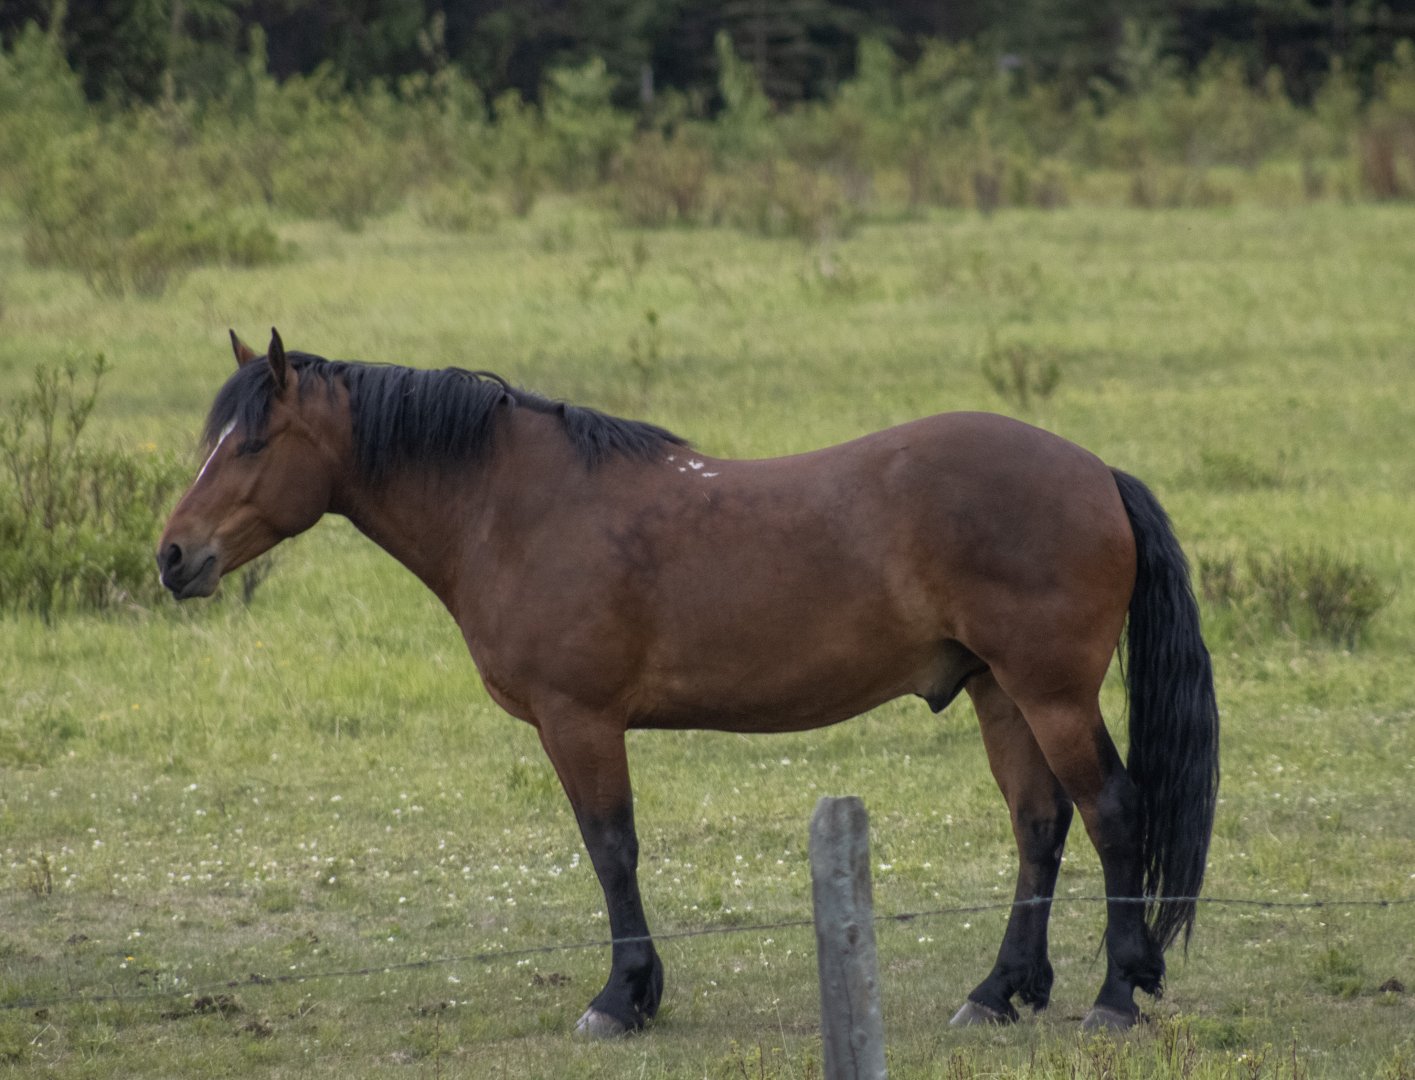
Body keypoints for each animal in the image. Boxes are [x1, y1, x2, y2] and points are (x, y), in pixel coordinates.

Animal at [158, 329, 1219, 1036]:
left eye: (253, 443)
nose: (173, 557)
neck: (517, 509)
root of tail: (1095, 472)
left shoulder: (579, 722)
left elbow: (610, 851)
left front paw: (623, 998)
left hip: (1049, 694)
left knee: (1113, 811)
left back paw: (1117, 995)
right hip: (1001, 692)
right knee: (1038, 824)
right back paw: (1000, 992)